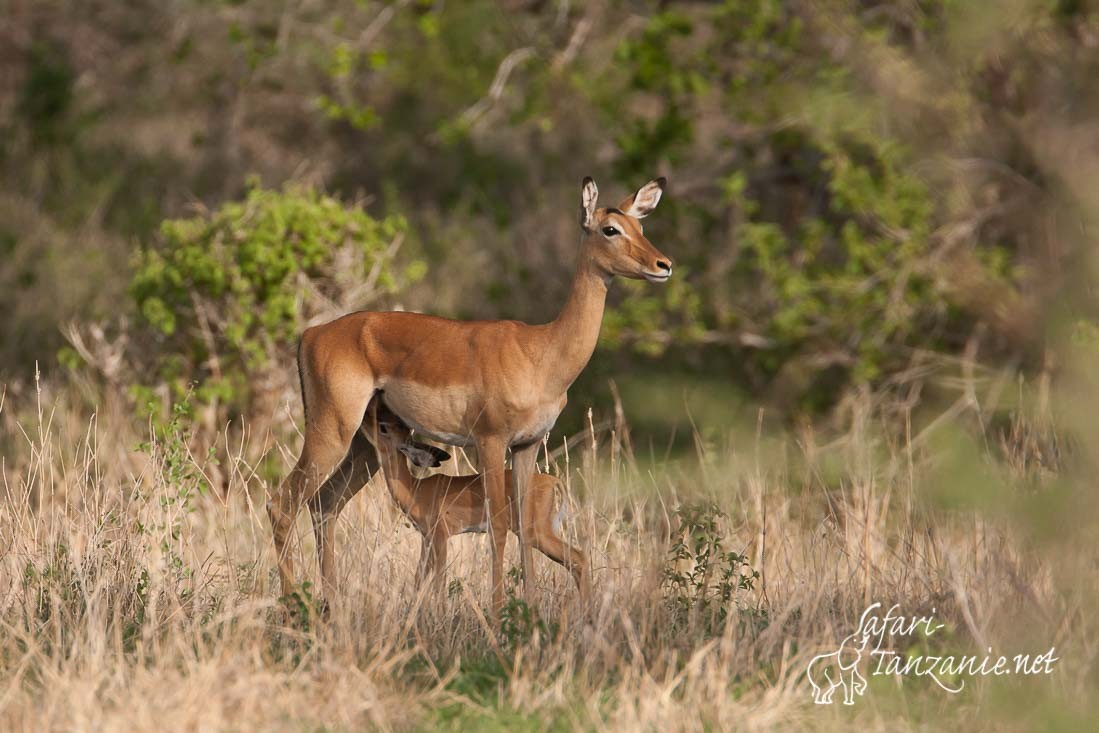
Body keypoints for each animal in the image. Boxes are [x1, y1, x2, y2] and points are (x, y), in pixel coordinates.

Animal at [367, 402, 593, 602]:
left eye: (383, 427)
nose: (367, 416)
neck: (416, 489)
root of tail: (553, 481)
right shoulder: (426, 539)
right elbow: (418, 581)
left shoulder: (440, 536)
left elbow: (439, 582)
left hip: (537, 532)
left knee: (579, 558)